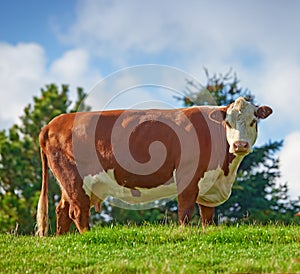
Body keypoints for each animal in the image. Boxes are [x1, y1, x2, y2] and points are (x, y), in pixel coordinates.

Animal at [35, 97, 272, 235]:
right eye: (228, 123)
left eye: (253, 121)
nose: (240, 144)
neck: (225, 173)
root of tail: (53, 123)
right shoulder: (188, 175)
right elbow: (185, 211)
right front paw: (183, 233)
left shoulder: (210, 184)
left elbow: (207, 217)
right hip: (74, 179)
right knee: (77, 211)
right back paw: (88, 236)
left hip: (68, 182)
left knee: (63, 210)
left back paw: (63, 239)